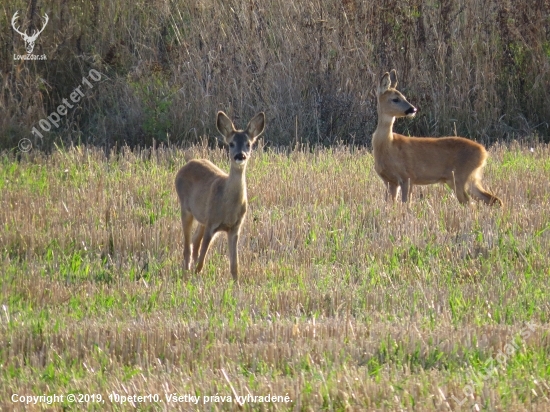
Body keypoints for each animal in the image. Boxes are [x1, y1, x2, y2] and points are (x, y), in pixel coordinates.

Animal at [175, 111, 266, 282]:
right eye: (231, 143)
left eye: (248, 144)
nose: (240, 156)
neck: (228, 205)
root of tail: (185, 166)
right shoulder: (212, 223)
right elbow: (202, 260)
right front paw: (196, 278)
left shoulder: (235, 228)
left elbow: (235, 265)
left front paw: (237, 284)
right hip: (186, 209)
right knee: (188, 246)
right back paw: (186, 272)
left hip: (202, 217)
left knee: (195, 242)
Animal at [374, 71, 502, 208]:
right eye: (395, 99)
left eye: (404, 97)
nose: (413, 109)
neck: (388, 144)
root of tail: (484, 153)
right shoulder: (389, 181)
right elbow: (390, 205)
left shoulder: (408, 176)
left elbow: (406, 204)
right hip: (470, 178)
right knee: (493, 199)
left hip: (459, 177)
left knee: (469, 203)